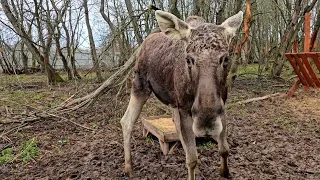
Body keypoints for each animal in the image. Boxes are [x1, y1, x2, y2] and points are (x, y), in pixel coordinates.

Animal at [120, 10, 242, 180]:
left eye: (225, 58)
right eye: (189, 59)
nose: (206, 121)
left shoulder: (222, 106)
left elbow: (224, 148)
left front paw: (225, 172)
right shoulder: (184, 108)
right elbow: (192, 159)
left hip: (171, 100)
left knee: (174, 125)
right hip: (140, 86)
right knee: (126, 121)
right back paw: (128, 167)